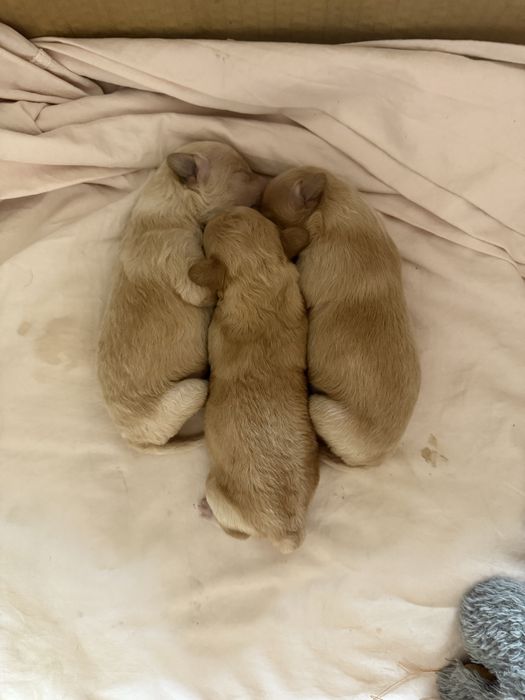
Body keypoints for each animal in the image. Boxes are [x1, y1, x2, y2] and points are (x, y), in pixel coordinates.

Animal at [97, 141, 267, 450]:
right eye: (243, 174)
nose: (269, 178)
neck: (172, 207)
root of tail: (136, 441)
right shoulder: (187, 273)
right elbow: (206, 291)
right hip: (190, 391)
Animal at [189, 206, 319, 552]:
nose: (221, 208)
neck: (260, 282)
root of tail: (286, 531)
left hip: (216, 491)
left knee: (236, 533)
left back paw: (206, 511)